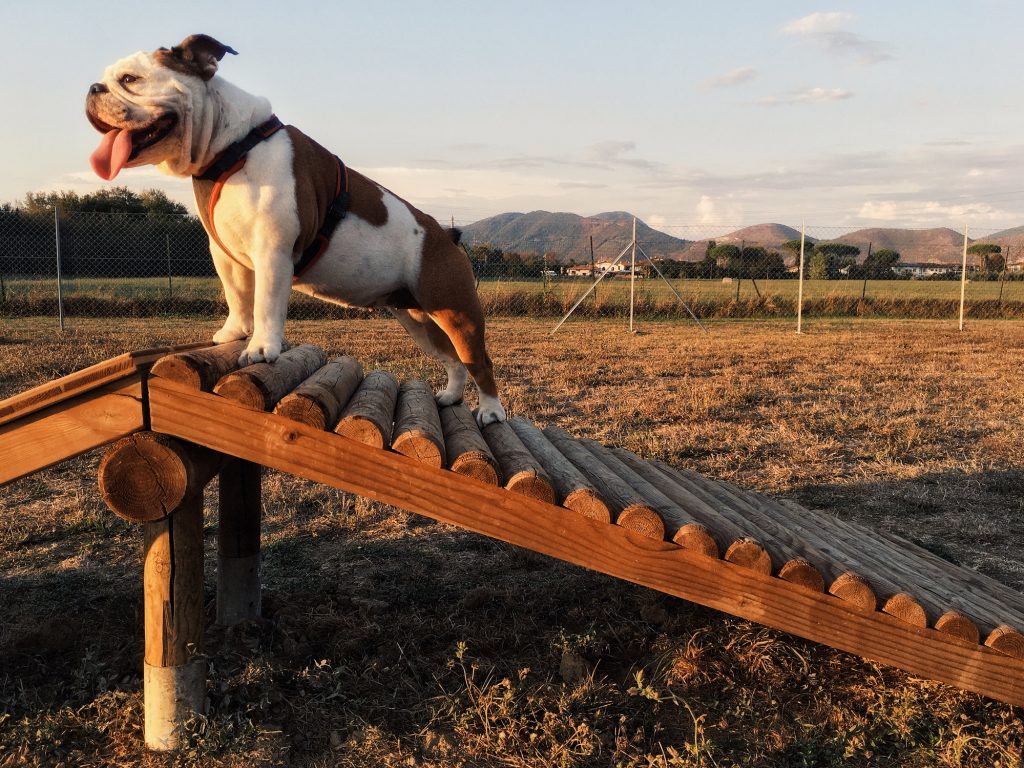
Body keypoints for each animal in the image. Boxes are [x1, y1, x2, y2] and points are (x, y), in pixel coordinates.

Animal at [86, 33, 505, 428]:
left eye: (130, 79)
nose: (93, 88)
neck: (232, 146)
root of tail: (446, 236)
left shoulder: (272, 252)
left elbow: (265, 304)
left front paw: (261, 348)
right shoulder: (226, 257)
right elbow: (238, 297)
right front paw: (234, 333)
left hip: (457, 312)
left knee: (479, 360)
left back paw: (490, 411)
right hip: (418, 319)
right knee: (453, 359)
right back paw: (450, 396)